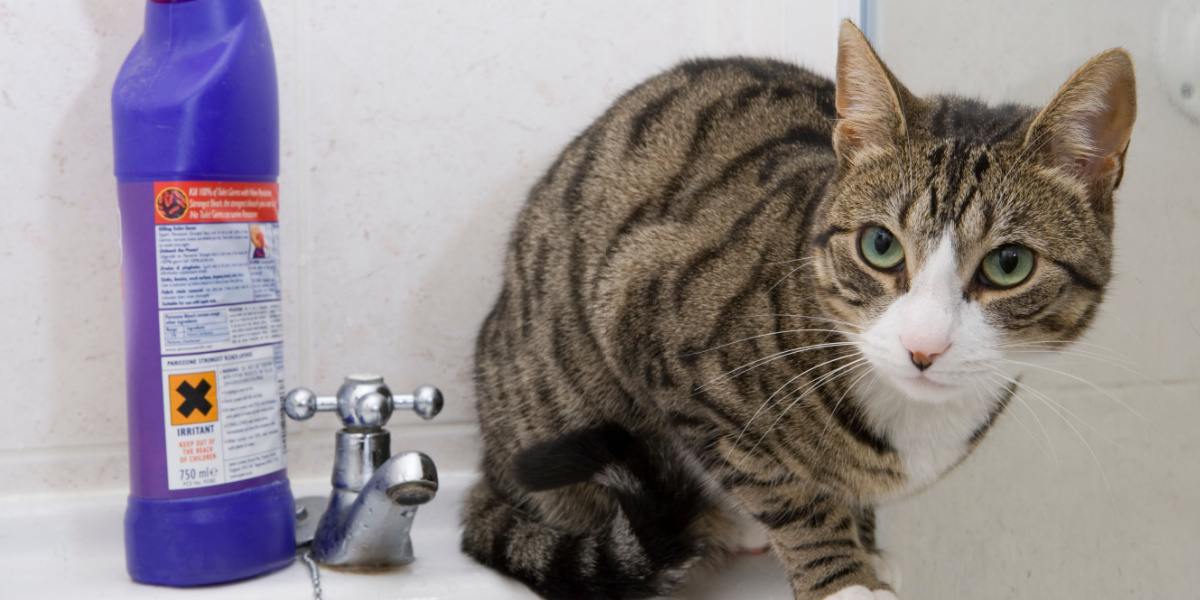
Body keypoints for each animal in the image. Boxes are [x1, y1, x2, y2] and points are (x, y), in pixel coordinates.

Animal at [463, 19, 1137, 600]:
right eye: (880, 245)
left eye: (1009, 264)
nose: (923, 347)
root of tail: (488, 463)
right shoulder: (650, 319)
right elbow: (786, 489)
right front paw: (842, 578)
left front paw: (867, 549)